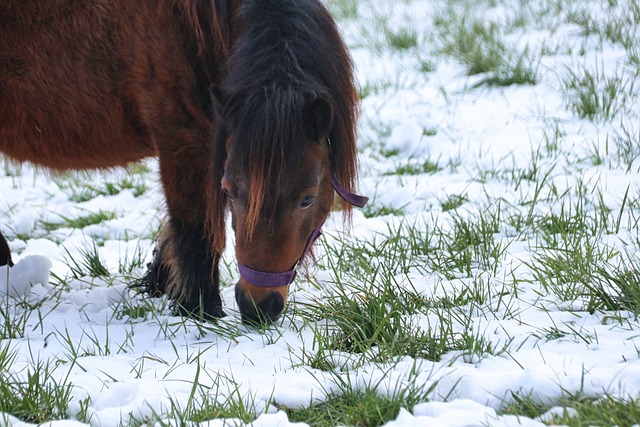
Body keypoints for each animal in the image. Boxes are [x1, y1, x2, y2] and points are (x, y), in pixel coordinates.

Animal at [1, 0, 364, 322]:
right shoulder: (183, 139)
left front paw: (161, 283)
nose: (257, 306)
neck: (197, 29)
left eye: (307, 198)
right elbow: (197, 229)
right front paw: (200, 309)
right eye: (229, 190)